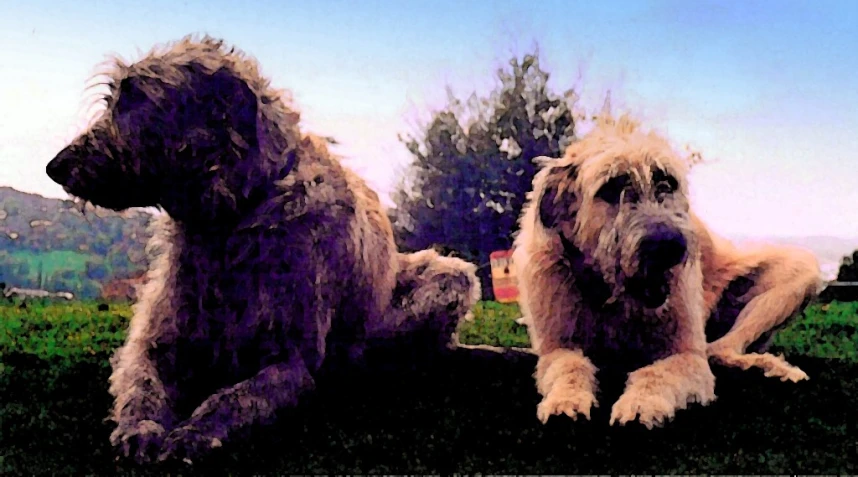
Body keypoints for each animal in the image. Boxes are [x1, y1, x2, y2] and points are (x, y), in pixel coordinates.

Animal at [45, 36, 482, 464]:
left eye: (137, 97)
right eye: (114, 98)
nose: (55, 166)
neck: (232, 219)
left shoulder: (290, 359)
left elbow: (237, 397)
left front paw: (196, 432)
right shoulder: (158, 338)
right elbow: (143, 380)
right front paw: (140, 428)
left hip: (447, 280)